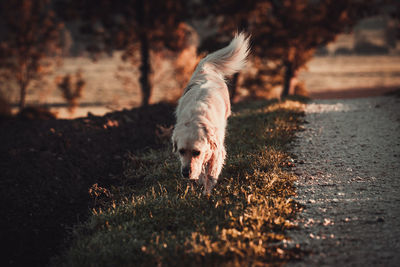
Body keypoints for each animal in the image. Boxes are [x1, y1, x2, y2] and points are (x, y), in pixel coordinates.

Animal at [172, 33, 250, 195]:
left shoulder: (217, 150)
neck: (195, 117)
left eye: (196, 152)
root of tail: (205, 69)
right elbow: (202, 171)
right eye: (181, 151)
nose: (185, 173)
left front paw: (207, 193)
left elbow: (210, 173)